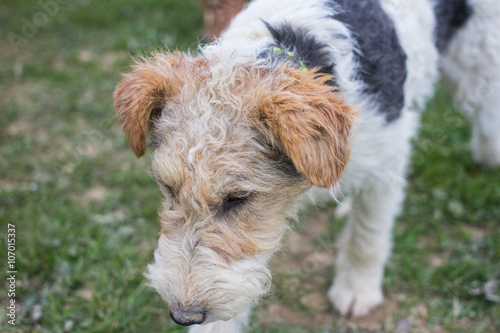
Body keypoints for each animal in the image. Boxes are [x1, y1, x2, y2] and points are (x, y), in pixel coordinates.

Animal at [113, 0, 500, 330]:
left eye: (238, 198)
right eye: (167, 187)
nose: (184, 315)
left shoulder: (386, 164)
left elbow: (368, 236)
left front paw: (356, 290)